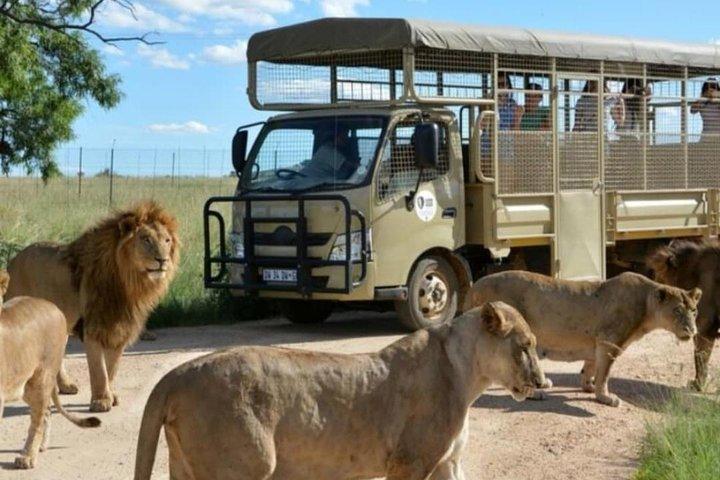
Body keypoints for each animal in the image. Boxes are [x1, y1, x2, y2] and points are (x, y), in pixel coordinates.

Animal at [0, 270, 101, 469]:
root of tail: (53, 306)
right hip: (28, 386)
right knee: (46, 412)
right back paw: (40, 447)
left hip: (41, 379)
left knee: (38, 419)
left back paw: (28, 456)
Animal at [6, 201, 180, 412]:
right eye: (146, 239)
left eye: (167, 241)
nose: (163, 260)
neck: (129, 283)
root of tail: (13, 261)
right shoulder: (93, 328)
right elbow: (99, 370)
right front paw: (101, 401)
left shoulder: (119, 328)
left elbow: (112, 369)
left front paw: (111, 396)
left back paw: (65, 386)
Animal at [133, 302, 547, 480]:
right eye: (526, 345)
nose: (543, 383)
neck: (467, 374)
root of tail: (176, 374)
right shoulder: (409, 463)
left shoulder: (448, 462)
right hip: (246, 466)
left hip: (184, 467)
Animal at [464, 271, 701, 407]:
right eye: (678, 311)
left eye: (694, 311)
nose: (692, 331)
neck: (646, 305)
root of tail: (475, 285)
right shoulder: (609, 342)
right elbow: (605, 373)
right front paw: (605, 397)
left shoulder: (597, 343)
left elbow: (591, 366)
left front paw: (588, 386)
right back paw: (536, 393)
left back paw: (544, 383)